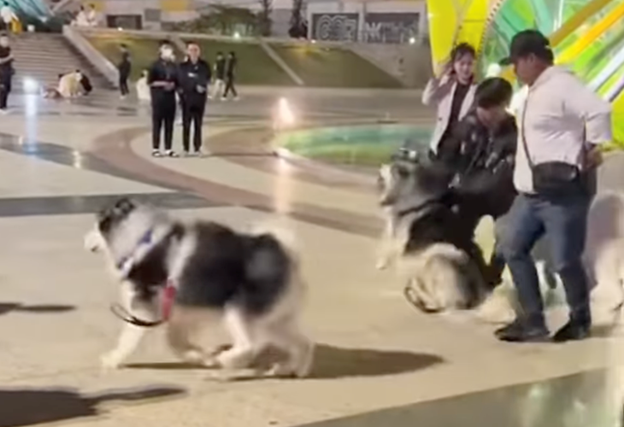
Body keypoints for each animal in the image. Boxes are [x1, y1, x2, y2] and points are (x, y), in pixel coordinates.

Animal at [85, 199, 314, 380]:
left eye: (96, 224)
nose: (84, 239)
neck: (139, 240)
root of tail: (288, 256)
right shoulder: (180, 312)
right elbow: (175, 342)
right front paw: (200, 356)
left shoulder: (144, 308)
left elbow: (128, 339)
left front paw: (113, 359)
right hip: (274, 320)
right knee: (303, 343)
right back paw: (291, 369)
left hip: (236, 310)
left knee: (250, 345)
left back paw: (224, 362)